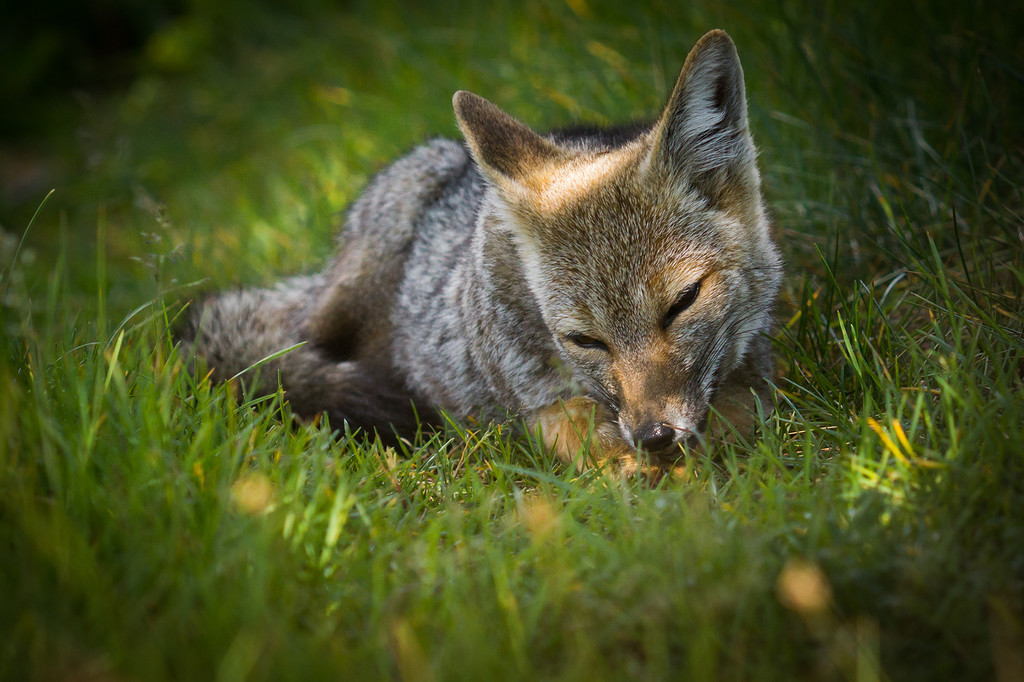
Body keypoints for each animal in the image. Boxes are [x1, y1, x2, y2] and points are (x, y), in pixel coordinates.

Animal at [178, 29, 782, 471]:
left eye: (683, 302)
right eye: (585, 340)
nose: (654, 435)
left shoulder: (752, 376)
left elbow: (736, 419)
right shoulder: (542, 406)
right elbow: (595, 440)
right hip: (345, 293)